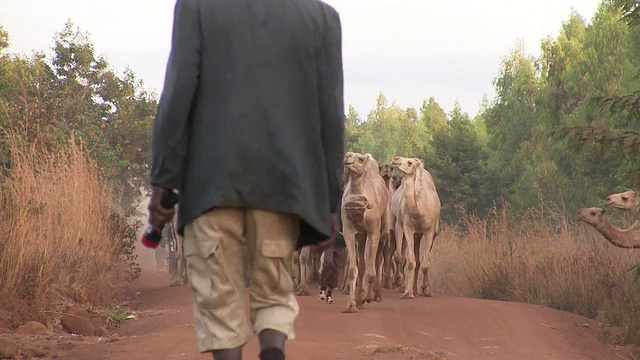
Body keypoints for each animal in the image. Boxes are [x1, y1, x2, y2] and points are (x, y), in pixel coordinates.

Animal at [342, 152, 392, 312]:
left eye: (360, 159)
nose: (348, 156)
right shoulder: (349, 231)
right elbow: (354, 269)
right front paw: (351, 304)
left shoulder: (373, 231)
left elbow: (371, 271)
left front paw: (367, 297)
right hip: (361, 236)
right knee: (363, 263)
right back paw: (359, 300)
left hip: (384, 227)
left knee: (378, 259)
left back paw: (375, 296)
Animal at [390, 157, 440, 298]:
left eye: (410, 162)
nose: (396, 159)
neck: (419, 209)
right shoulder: (407, 227)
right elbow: (410, 260)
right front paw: (407, 291)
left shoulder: (429, 231)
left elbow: (425, 264)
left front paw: (425, 289)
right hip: (412, 232)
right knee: (413, 258)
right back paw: (413, 289)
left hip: (432, 232)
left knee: (424, 261)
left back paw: (424, 290)